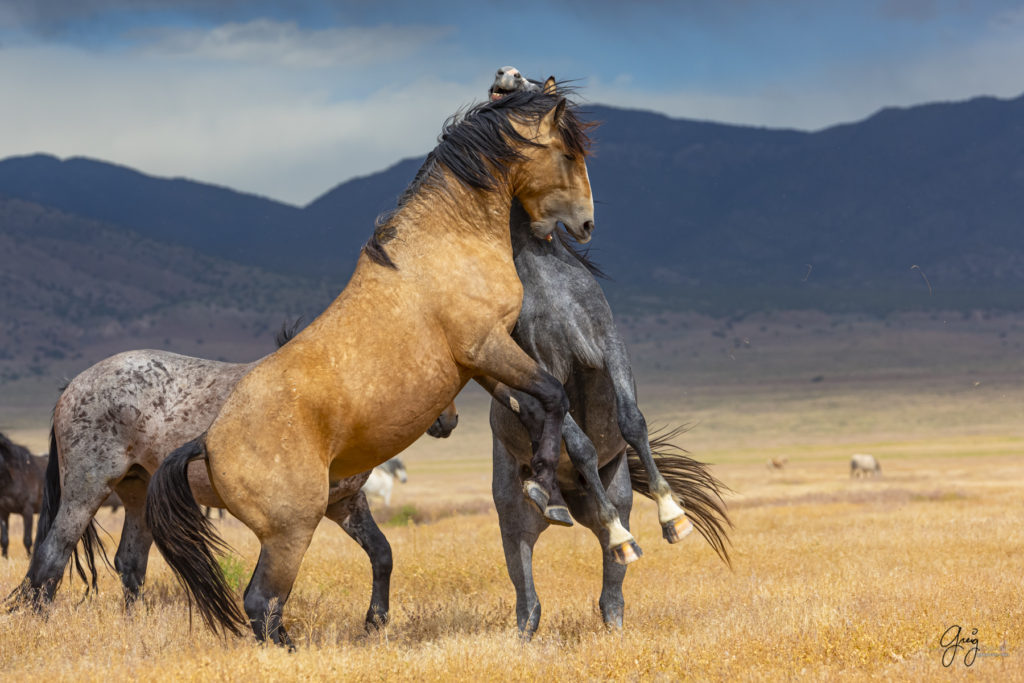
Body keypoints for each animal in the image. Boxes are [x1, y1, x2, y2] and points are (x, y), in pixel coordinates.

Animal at [8, 325, 454, 630]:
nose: (448, 421)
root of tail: (73, 385)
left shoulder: (346, 503)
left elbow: (381, 553)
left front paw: (376, 621)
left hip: (137, 495)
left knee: (129, 563)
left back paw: (136, 626)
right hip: (86, 490)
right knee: (52, 554)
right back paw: (37, 623)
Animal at [142, 81, 593, 647]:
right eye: (568, 154)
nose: (586, 224)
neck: (445, 244)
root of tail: (206, 442)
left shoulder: (478, 365)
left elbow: (536, 407)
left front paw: (545, 479)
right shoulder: (487, 346)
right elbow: (553, 394)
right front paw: (547, 493)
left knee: (265, 607)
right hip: (292, 531)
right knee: (262, 603)